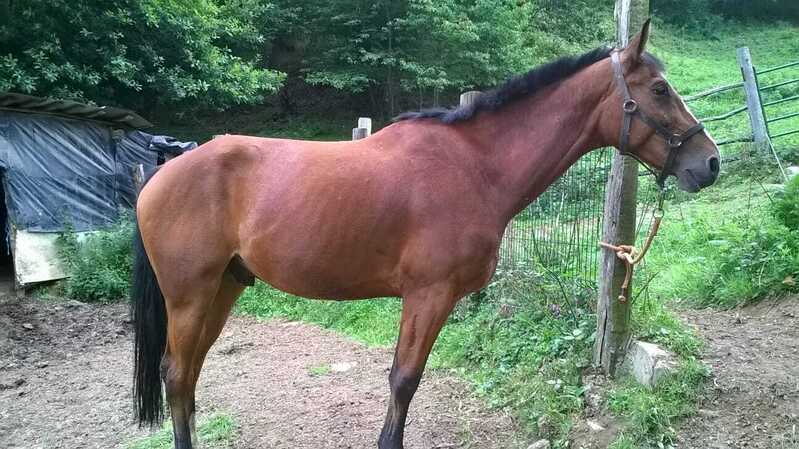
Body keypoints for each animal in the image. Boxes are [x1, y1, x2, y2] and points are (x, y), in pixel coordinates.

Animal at [132, 21, 719, 449]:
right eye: (660, 90)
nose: (709, 162)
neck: (476, 167)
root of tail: (163, 171)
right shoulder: (429, 296)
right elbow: (404, 380)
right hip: (190, 295)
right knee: (176, 374)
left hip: (224, 288)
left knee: (189, 376)